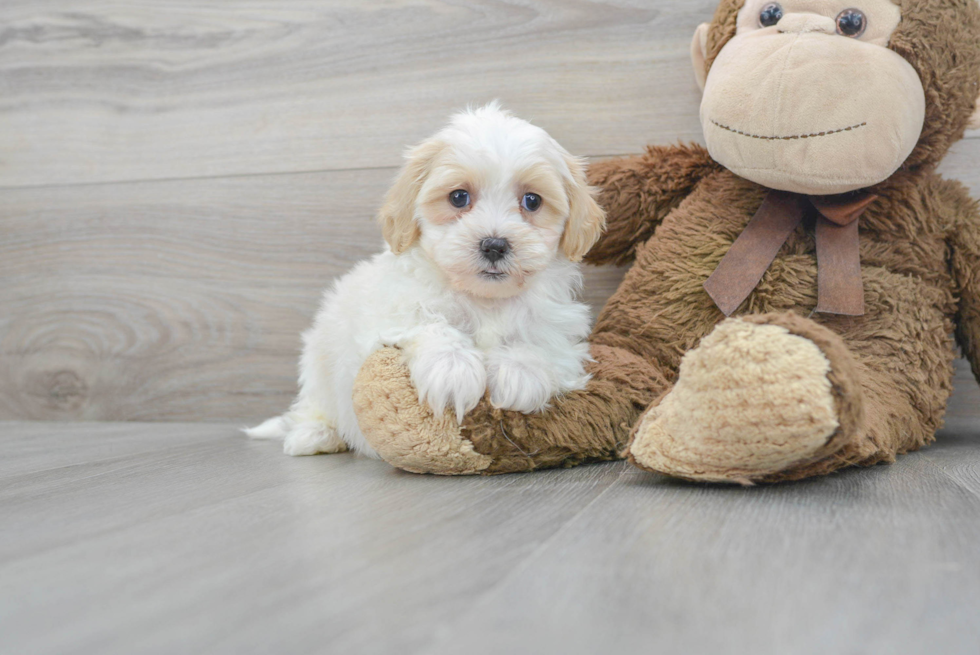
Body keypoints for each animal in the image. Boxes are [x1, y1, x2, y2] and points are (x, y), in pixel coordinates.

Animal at [247, 105, 604, 458]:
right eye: (458, 197)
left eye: (532, 201)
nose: (494, 245)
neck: (483, 299)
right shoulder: (391, 313)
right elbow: (429, 324)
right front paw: (453, 369)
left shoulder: (559, 328)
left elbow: (539, 342)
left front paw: (520, 372)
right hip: (318, 360)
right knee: (312, 403)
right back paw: (314, 434)